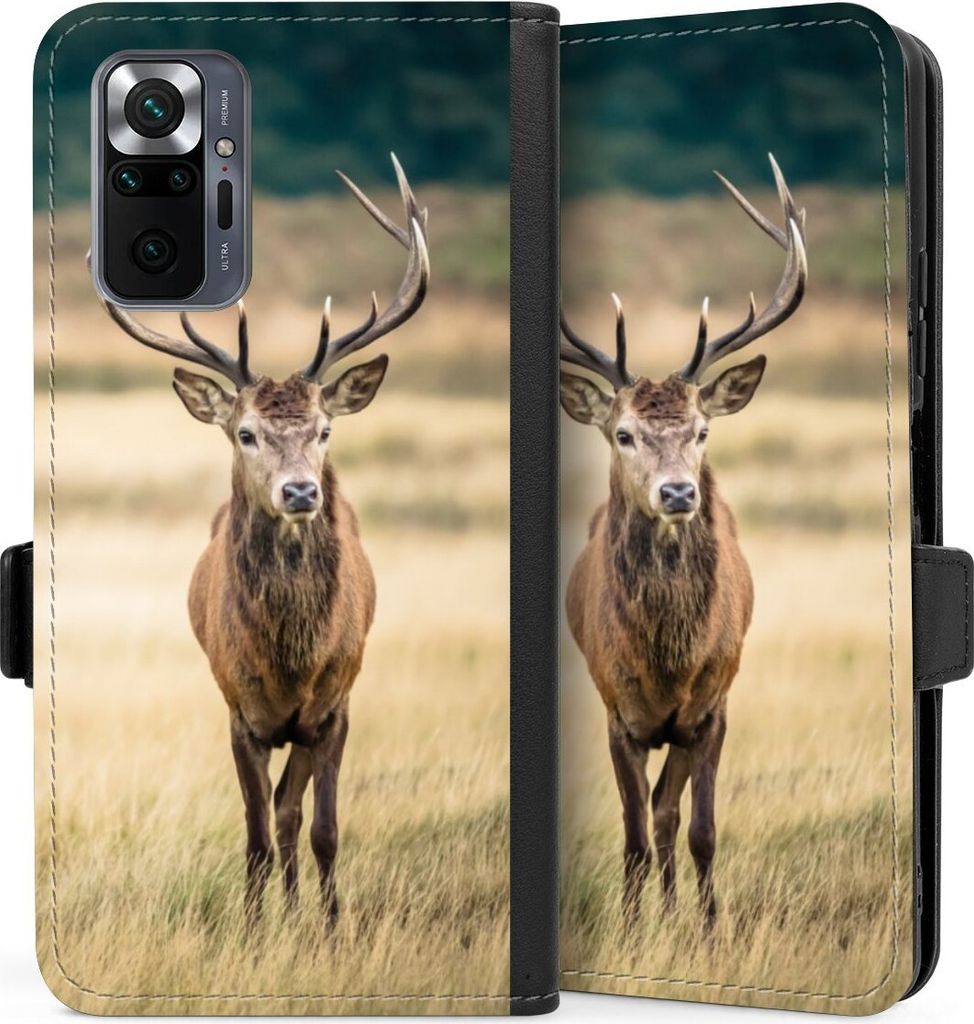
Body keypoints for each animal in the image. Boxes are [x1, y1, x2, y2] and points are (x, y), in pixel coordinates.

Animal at [95, 154, 429, 931]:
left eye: (325, 430)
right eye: (245, 432)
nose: (301, 491)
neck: (288, 661)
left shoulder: (333, 706)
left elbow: (320, 827)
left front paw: (331, 929)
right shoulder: (237, 710)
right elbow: (252, 832)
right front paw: (251, 930)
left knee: (291, 812)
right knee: (272, 816)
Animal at [560, 155, 807, 930]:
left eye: (701, 430)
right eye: (623, 433)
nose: (677, 493)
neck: (670, 659)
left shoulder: (713, 706)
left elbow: (698, 828)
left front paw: (706, 925)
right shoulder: (617, 710)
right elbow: (635, 833)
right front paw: (637, 925)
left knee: (671, 815)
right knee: (648, 820)